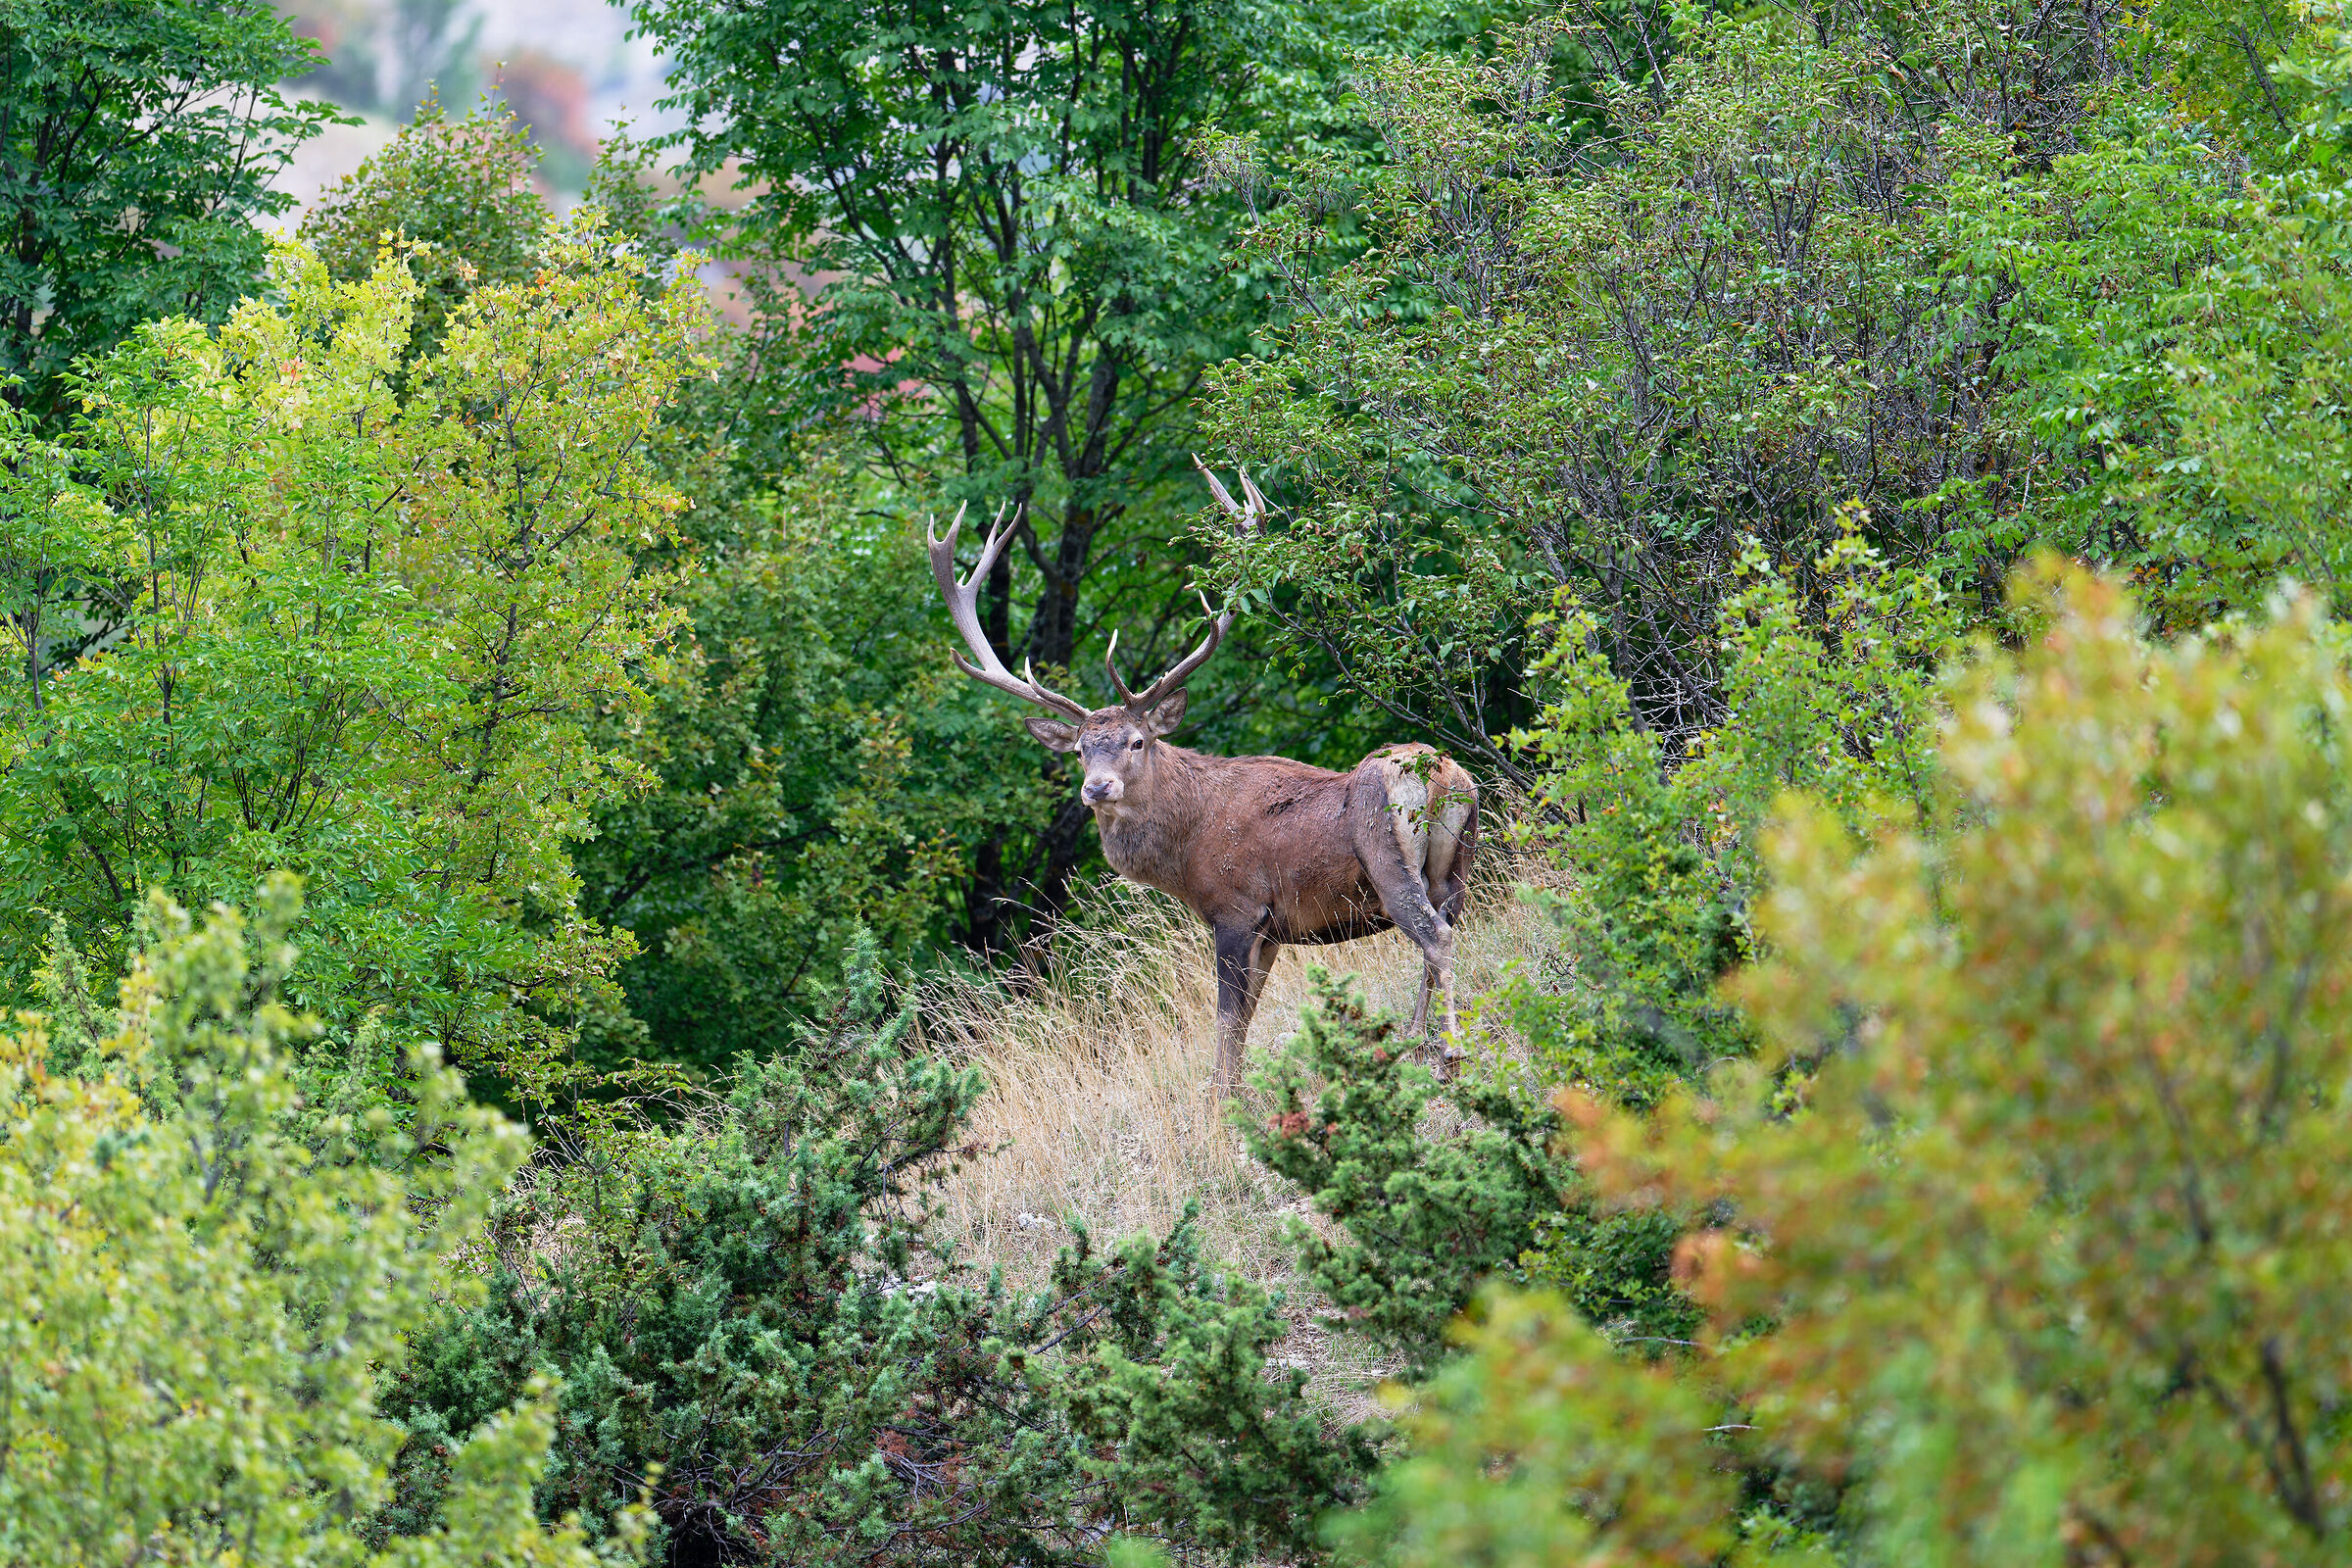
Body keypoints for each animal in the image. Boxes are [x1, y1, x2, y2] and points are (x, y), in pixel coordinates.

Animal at [927, 464, 1479, 1095]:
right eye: (1081, 751)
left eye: (1137, 741)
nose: (1098, 789)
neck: (1187, 849)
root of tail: (1440, 777)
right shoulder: (1273, 931)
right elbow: (1245, 1022)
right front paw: (1236, 1091)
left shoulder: (1237, 908)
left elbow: (1225, 1022)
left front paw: (1220, 1101)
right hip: (1457, 863)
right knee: (1444, 931)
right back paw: (1416, 1039)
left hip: (1387, 857)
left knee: (1435, 938)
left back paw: (1449, 1050)